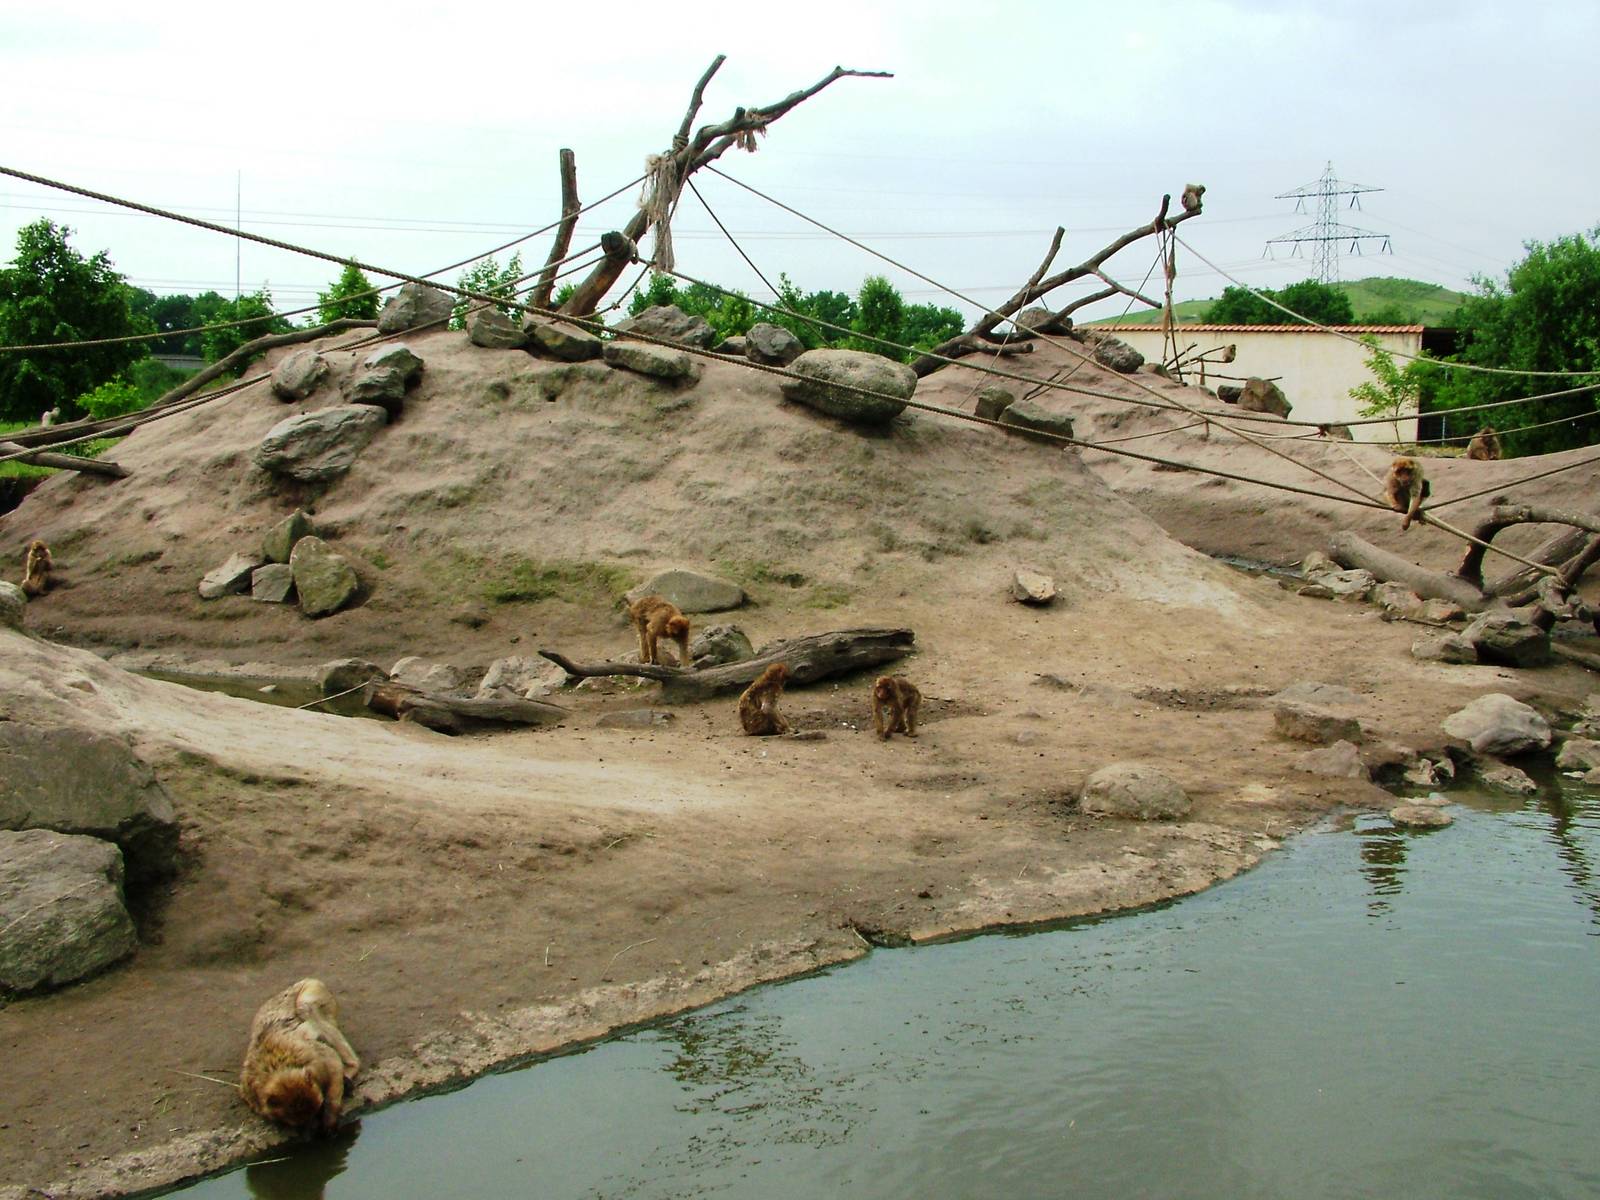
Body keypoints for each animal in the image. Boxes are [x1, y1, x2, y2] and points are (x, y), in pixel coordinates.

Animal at [240, 978, 360, 1134]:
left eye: (318, 1111)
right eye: (300, 1124)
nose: (312, 1128)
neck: (278, 1068)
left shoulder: (312, 1057)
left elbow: (331, 1059)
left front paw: (330, 1120)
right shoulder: (250, 1092)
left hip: (317, 991)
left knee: (305, 1006)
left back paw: (352, 1066)